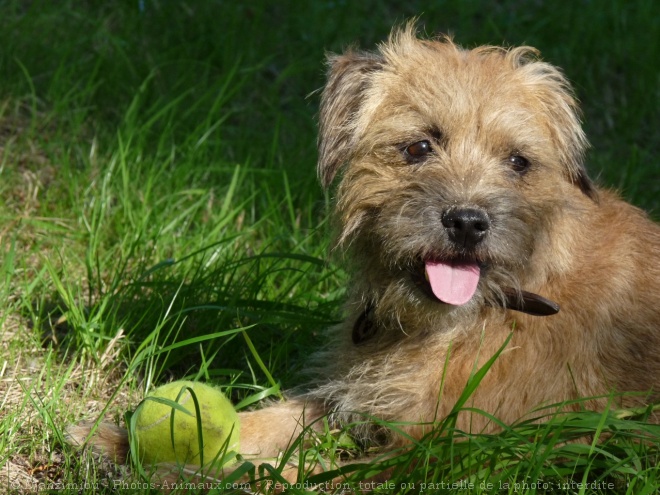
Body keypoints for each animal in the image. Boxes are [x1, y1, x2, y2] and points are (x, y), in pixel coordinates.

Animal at [65, 24, 660, 488]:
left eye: (518, 161)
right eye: (418, 147)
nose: (468, 222)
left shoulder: (437, 454)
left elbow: (298, 471)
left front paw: (185, 474)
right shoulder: (346, 399)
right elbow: (262, 421)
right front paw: (122, 442)